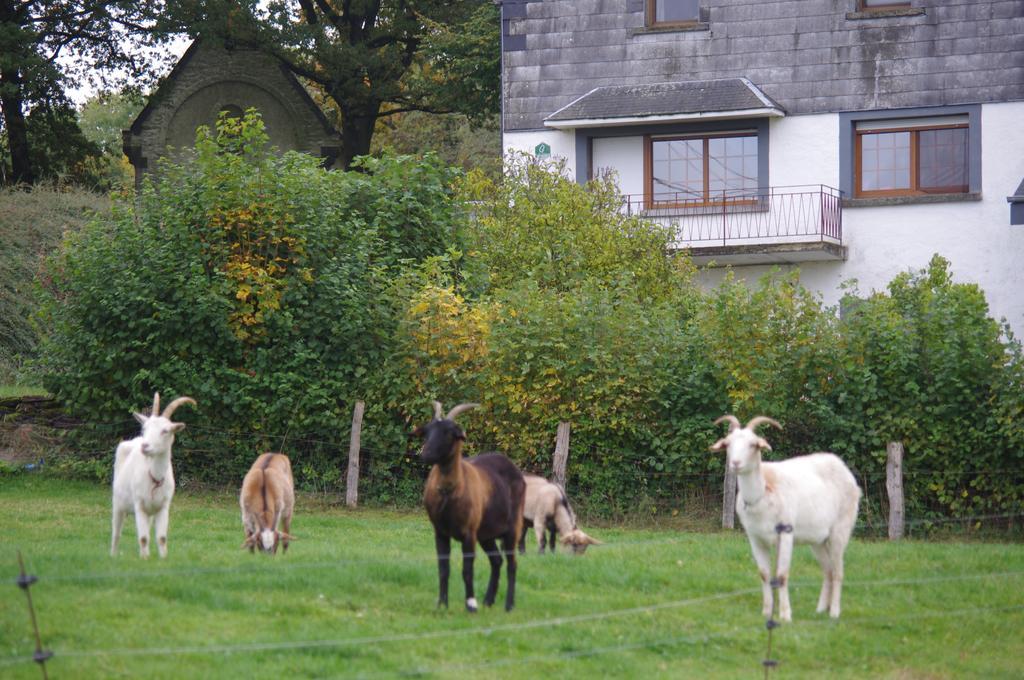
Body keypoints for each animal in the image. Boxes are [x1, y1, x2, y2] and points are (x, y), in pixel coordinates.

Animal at [111, 393, 194, 557]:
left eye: (165, 430)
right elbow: (143, 538)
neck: (155, 478)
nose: (145, 446)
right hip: (118, 503)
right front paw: (144, 558)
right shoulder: (139, 505)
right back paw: (113, 554)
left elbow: (161, 538)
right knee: (116, 532)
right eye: (145, 428)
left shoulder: (163, 507)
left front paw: (162, 558)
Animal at [415, 401, 528, 614]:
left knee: (512, 564)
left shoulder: (469, 533)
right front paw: (442, 605)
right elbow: (443, 569)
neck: (449, 493)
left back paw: (508, 605)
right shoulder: (440, 532)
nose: (426, 454)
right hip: (486, 534)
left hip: (512, 528)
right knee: (497, 561)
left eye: (450, 432)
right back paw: (489, 600)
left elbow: (467, 570)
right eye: (428, 431)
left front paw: (471, 605)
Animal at [712, 413, 864, 622]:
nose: (735, 464)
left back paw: (834, 612)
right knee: (828, 570)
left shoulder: (785, 534)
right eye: (728, 443)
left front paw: (785, 615)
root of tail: (845, 472)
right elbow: (764, 574)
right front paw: (766, 612)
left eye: (753, 444)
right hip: (817, 539)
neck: (762, 494)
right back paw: (820, 610)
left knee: (838, 572)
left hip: (840, 531)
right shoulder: (755, 538)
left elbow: (782, 575)